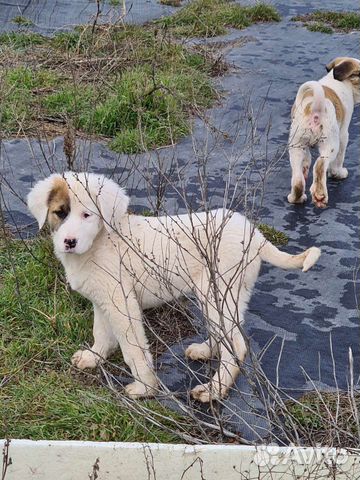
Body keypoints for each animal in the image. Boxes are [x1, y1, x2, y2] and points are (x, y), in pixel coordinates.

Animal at [28, 172, 320, 402]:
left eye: (87, 215)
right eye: (60, 213)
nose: (69, 242)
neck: (100, 241)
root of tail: (256, 235)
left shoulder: (122, 303)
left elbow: (133, 348)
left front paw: (145, 388)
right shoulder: (103, 300)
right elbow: (101, 332)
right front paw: (94, 357)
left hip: (216, 292)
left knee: (236, 345)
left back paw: (213, 390)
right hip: (226, 295)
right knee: (226, 333)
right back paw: (206, 350)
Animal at [286, 56, 360, 208]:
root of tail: (316, 106)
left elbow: (307, 158)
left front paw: (306, 165)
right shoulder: (343, 135)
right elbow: (339, 160)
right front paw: (338, 173)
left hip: (296, 145)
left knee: (298, 179)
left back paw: (296, 197)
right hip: (330, 145)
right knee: (320, 165)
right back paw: (320, 195)